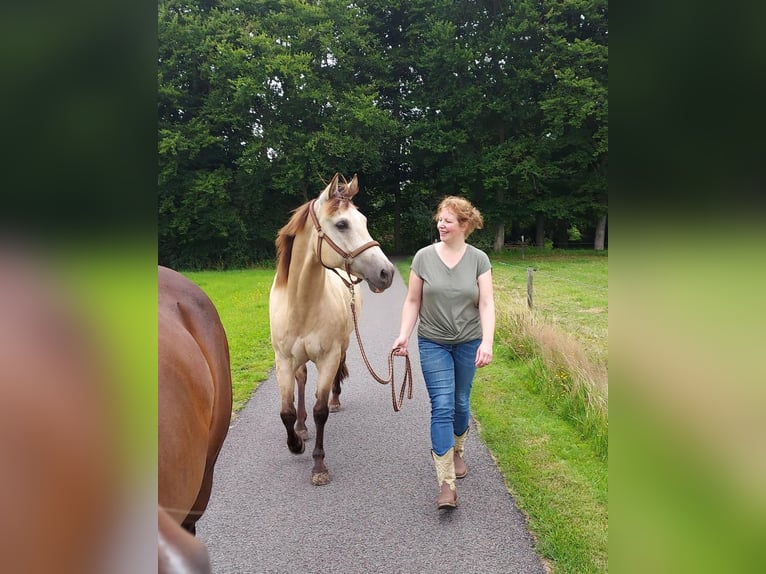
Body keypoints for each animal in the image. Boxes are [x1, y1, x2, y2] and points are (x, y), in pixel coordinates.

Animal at [269, 173, 395, 486]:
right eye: (342, 224)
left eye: (364, 220)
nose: (386, 273)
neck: (301, 303)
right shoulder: (283, 361)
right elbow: (286, 411)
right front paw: (295, 442)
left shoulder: (328, 357)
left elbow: (321, 410)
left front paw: (318, 465)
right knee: (302, 380)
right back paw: (302, 428)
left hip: (345, 343)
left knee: (339, 370)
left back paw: (335, 400)